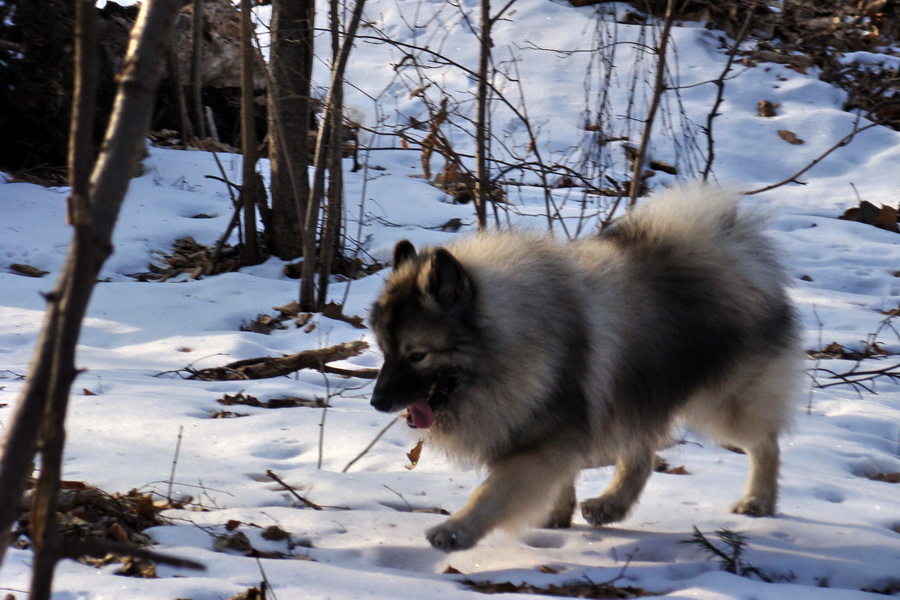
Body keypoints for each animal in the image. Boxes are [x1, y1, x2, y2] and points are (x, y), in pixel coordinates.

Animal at [368, 184, 800, 552]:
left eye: (417, 355)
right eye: (385, 350)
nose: (377, 402)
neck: (510, 341)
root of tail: (731, 248)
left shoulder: (544, 440)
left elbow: (493, 492)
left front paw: (456, 530)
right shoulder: (559, 432)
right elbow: (561, 476)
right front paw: (557, 513)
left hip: (724, 403)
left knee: (765, 444)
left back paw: (757, 500)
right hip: (635, 393)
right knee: (641, 454)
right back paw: (612, 504)